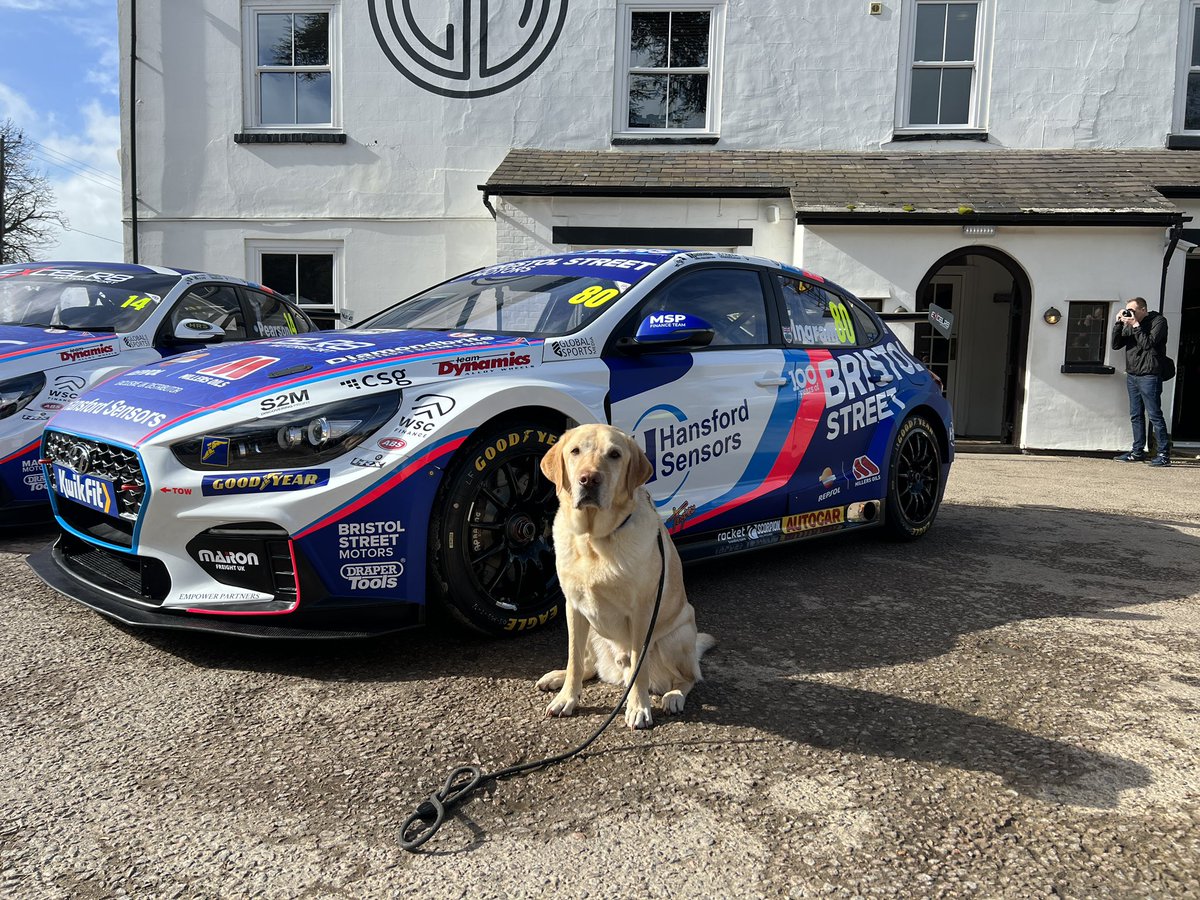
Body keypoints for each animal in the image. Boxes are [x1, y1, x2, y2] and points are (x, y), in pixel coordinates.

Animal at [540, 424, 715, 734]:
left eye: (614, 454)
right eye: (575, 451)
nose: (589, 479)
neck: (593, 539)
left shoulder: (643, 613)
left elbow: (639, 668)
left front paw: (638, 707)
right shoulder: (573, 607)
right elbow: (574, 660)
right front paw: (567, 698)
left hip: (675, 637)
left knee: (688, 677)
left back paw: (673, 696)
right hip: (592, 630)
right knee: (587, 665)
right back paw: (557, 678)